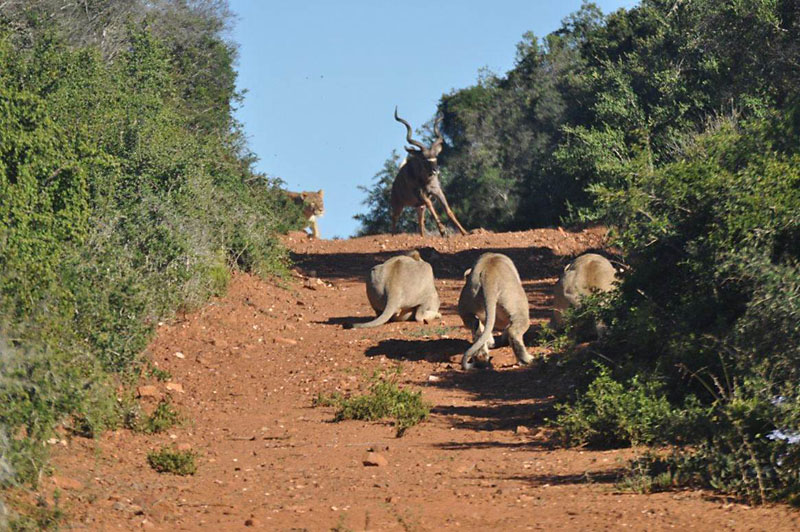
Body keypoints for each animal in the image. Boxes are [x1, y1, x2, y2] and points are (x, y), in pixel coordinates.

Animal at [391, 107, 467, 237]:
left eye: (435, 156)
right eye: (424, 158)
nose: (436, 170)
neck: (425, 180)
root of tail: (394, 185)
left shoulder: (437, 191)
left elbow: (448, 210)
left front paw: (465, 232)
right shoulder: (422, 195)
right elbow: (431, 205)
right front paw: (442, 230)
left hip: (418, 207)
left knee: (420, 223)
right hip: (398, 206)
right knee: (394, 221)